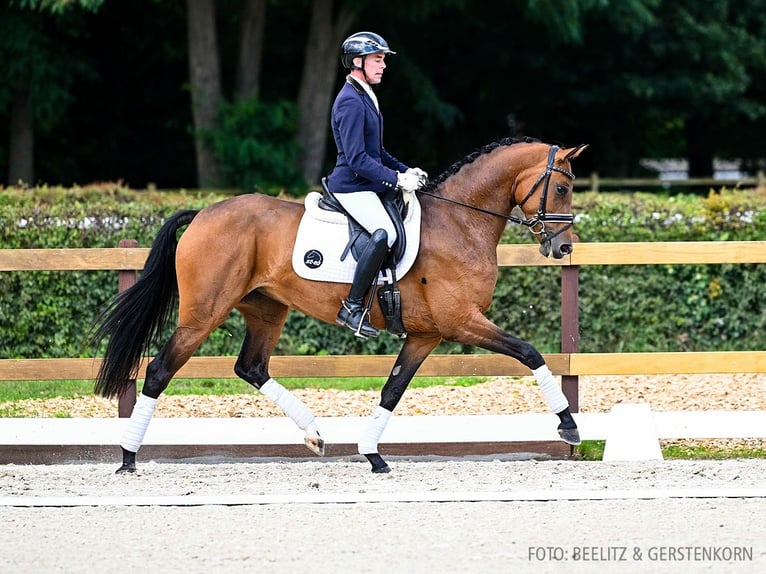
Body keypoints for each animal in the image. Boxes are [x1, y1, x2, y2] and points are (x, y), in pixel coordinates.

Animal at [93, 137, 592, 474]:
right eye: (562, 189)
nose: (564, 247)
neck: (460, 221)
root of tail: (203, 213)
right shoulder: (462, 322)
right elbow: (530, 353)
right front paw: (568, 426)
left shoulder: (426, 335)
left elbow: (392, 391)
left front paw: (372, 455)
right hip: (203, 314)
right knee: (160, 370)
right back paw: (128, 458)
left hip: (266, 309)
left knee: (251, 367)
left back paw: (314, 434)